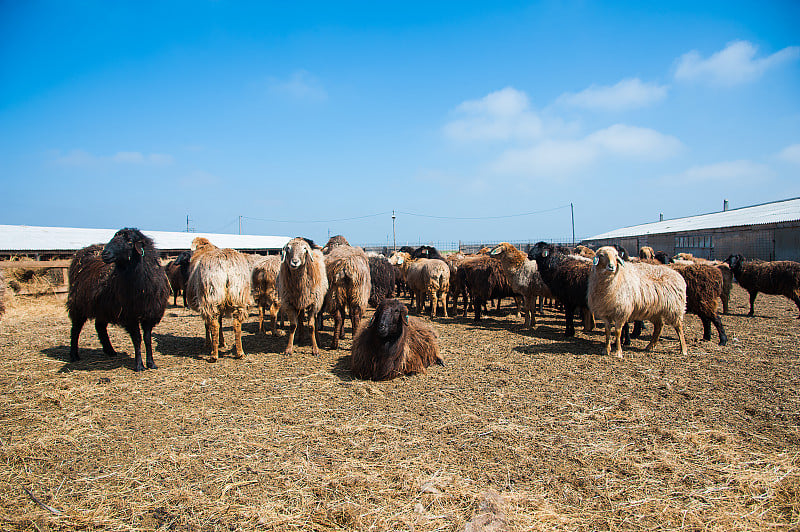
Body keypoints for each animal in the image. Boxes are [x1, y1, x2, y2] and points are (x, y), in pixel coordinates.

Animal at [67, 227, 170, 372]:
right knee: (75, 330)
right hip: (78, 305)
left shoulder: (150, 314)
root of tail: (83, 251)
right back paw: (74, 355)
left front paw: (151, 363)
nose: (105, 254)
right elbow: (137, 339)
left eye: (130, 241)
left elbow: (147, 338)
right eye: (113, 238)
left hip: (102, 308)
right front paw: (139, 365)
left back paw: (110, 350)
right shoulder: (130, 315)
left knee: (99, 326)